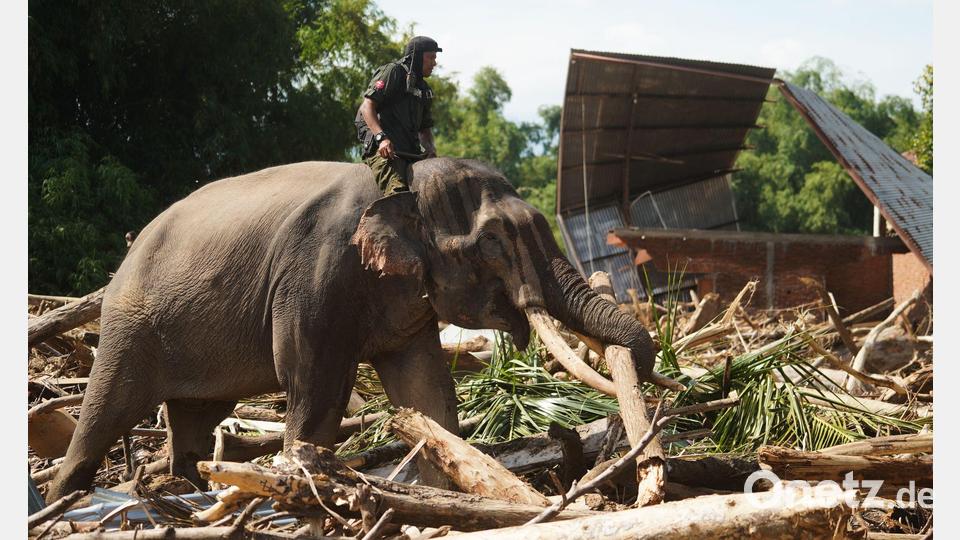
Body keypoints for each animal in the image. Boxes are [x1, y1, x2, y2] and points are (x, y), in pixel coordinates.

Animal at [46, 158, 658, 502]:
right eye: (490, 242)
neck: (403, 181)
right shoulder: (313, 279)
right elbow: (316, 388)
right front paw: (302, 480)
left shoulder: (403, 307)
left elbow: (427, 394)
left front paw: (445, 487)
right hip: (130, 328)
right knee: (105, 412)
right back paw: (66, 498)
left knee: (195, 422)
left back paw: (191, 491)